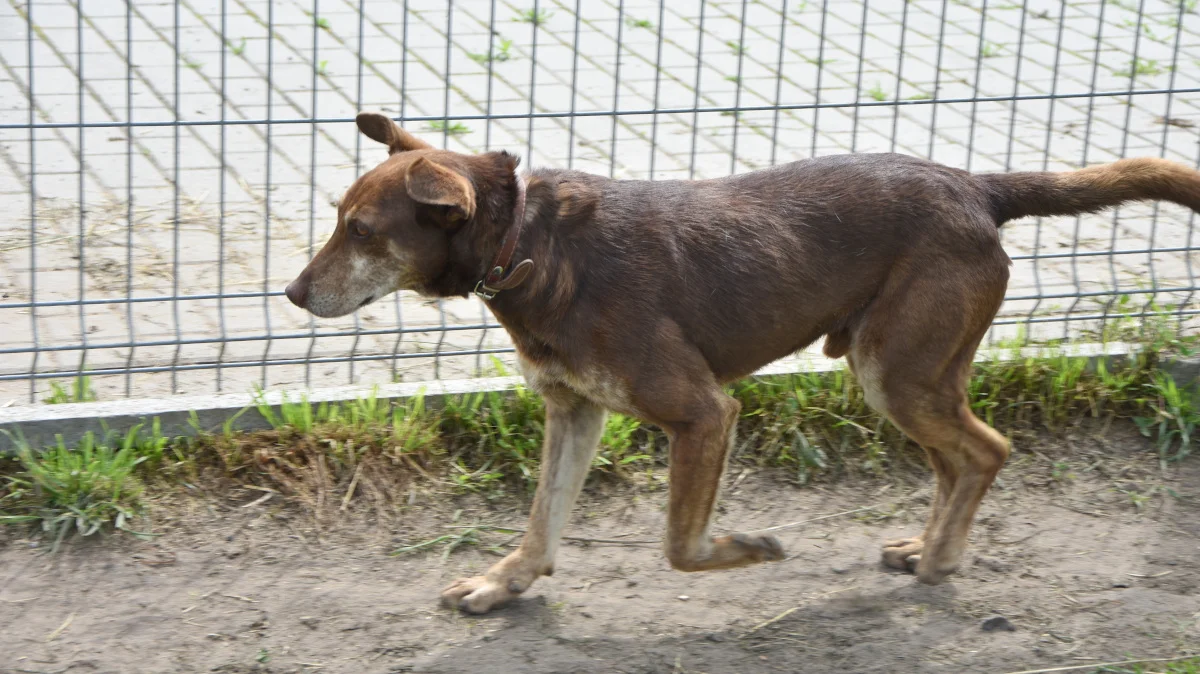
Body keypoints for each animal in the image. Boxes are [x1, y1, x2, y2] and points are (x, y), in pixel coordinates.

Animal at [288, 111, 1200, 614]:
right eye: (336, 218)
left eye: (363, 232)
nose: (293, 292)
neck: (531, 243)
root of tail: (976, 185)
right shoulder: (573, 411)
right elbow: (543, 521)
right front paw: (503, 584)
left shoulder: (703, 414)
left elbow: (679, 546)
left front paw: (750, 548)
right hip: (908, 374)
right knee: (958, 461)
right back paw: (927, 545)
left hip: (897, 371)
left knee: (986, 450)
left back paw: (941, 559)